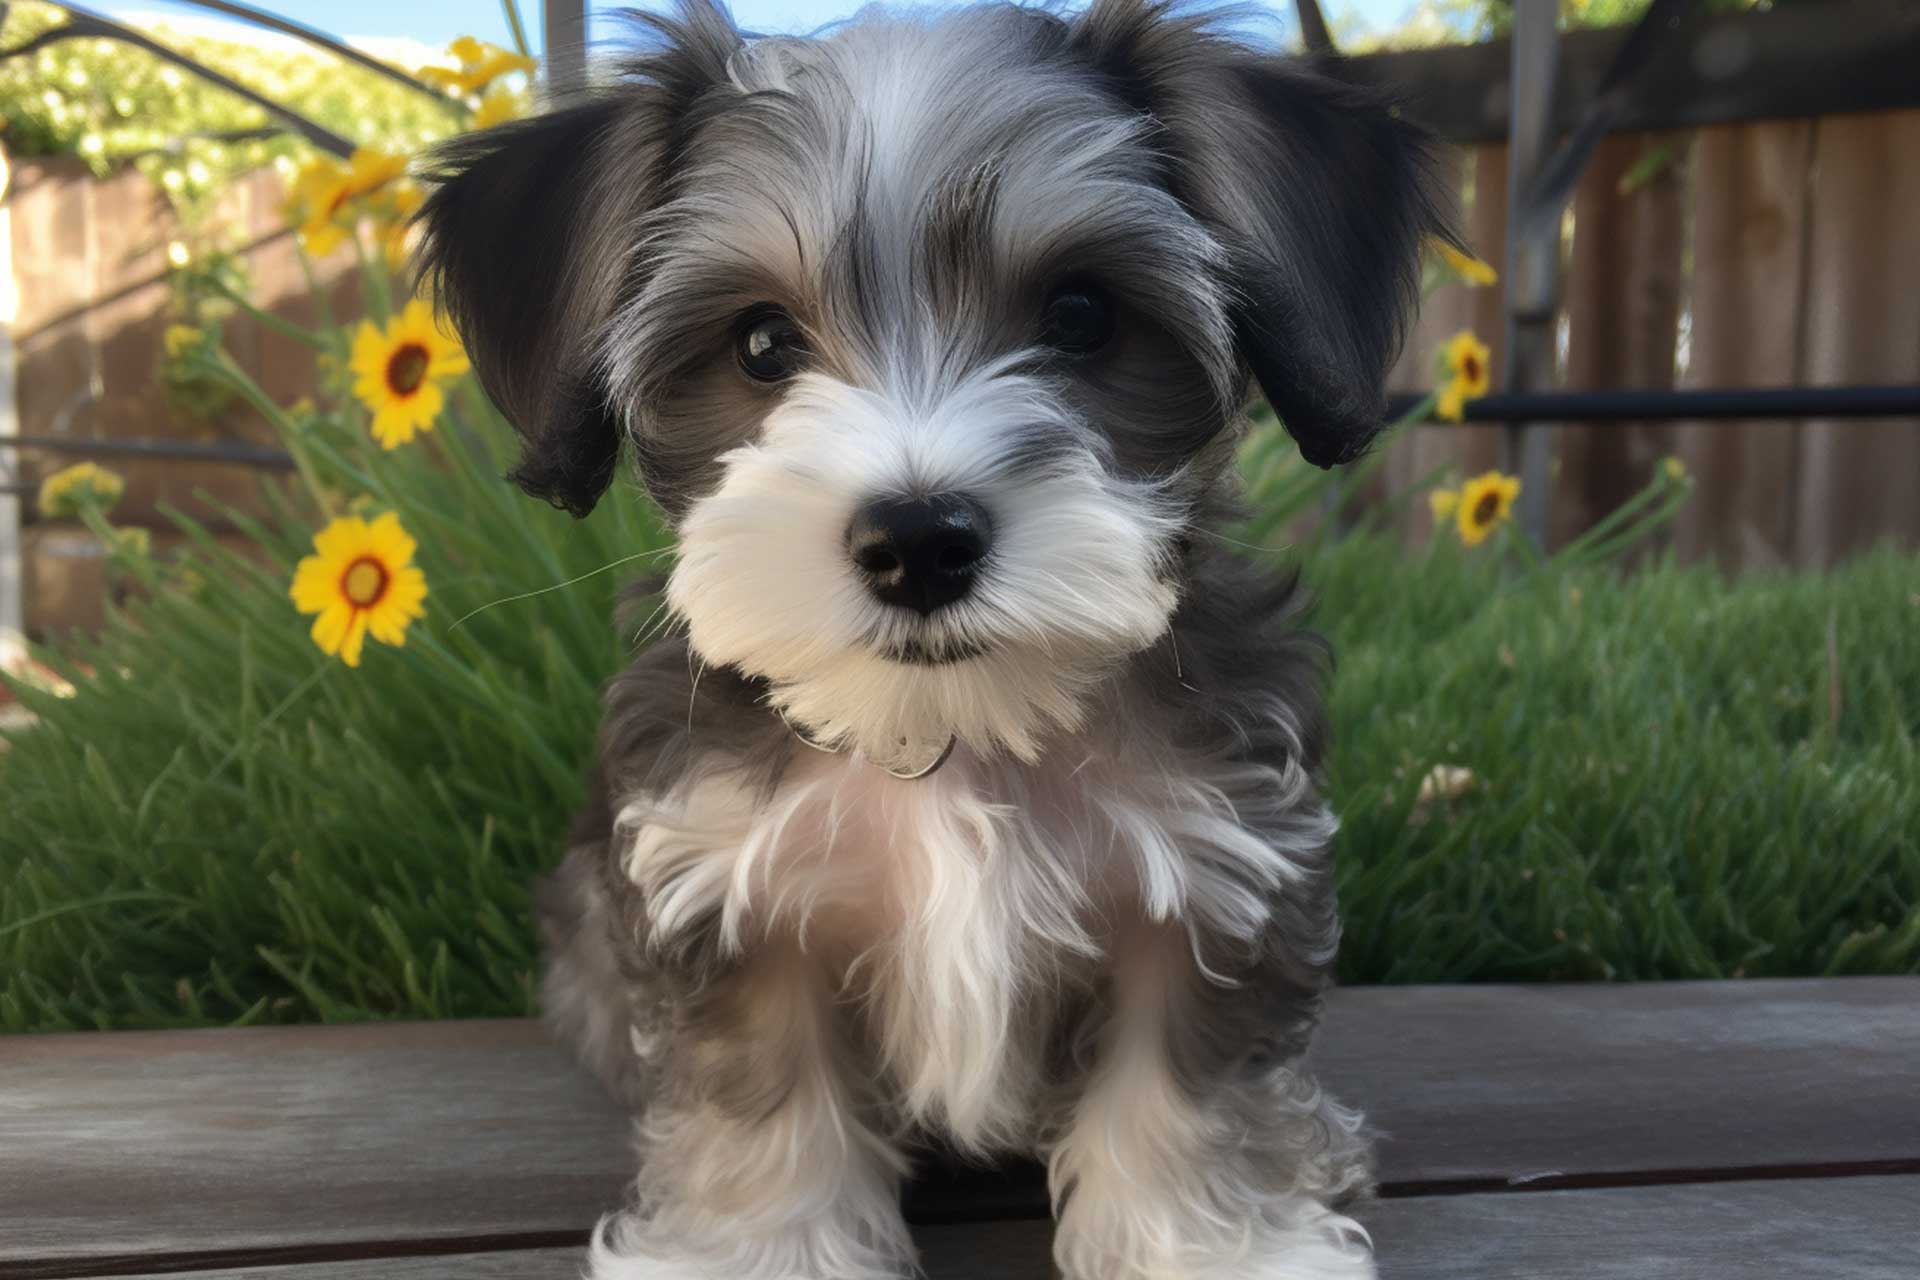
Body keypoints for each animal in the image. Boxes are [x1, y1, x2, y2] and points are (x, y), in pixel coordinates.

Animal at [424, 5, 1443, 1274]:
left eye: (1081, 315)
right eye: (761, 342)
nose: (917, 540)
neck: (953, 733)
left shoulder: (1214, 879)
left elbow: (1183, 1096)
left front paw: (1217, 1245)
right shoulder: (734, 897)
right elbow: (766, 1104)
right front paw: (756, 1246)